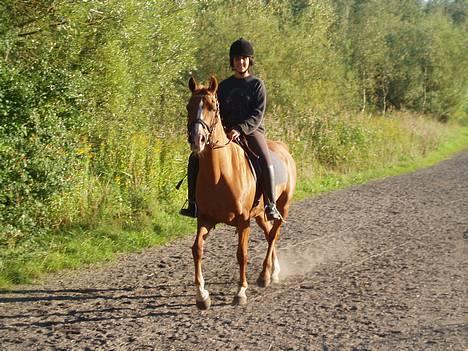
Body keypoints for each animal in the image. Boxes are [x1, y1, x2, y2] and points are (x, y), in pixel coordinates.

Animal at [186, 75, 296, 310]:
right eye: (189, 106)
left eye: (212, 107)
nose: (197, 140)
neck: (219, 174)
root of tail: (284, 149)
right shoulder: (205, 218)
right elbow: (197, 249)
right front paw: (202, 296)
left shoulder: (243, 220)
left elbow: (242, 254)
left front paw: (240, 292)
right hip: (259, 213)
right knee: (269, 232)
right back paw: (274, 271)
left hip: (282, 207)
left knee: (273, 234)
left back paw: (264, 276)